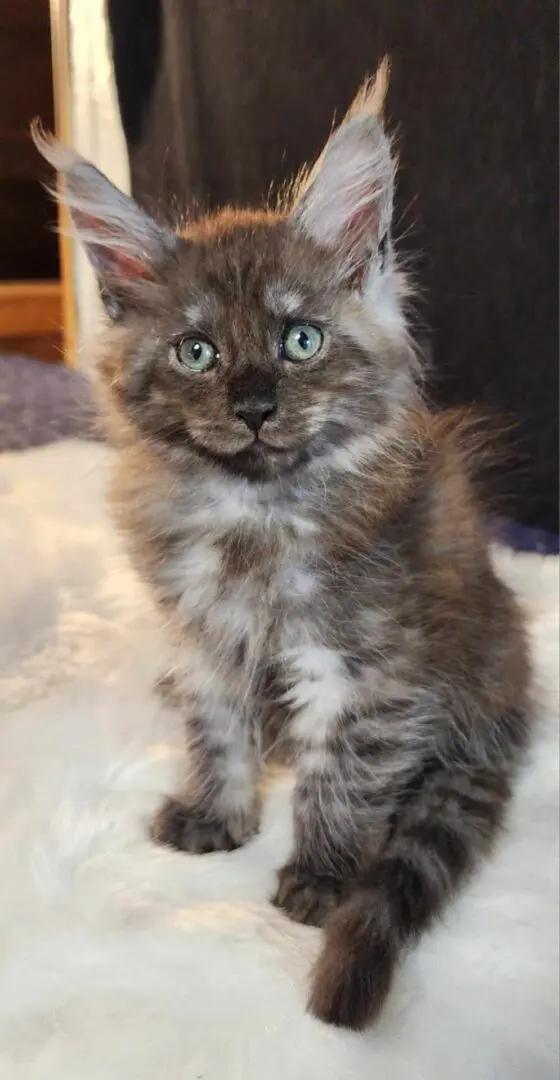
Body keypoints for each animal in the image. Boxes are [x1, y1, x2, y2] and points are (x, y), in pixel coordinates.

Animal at [35, 65, 530, 1028]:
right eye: (196, 352)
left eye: (301, 340)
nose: (257, 405)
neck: (253, 515)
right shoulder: (202, 637)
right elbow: (218, 730)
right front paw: (215, 817)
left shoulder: (367, 673)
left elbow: (340, 777)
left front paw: (322, 879)